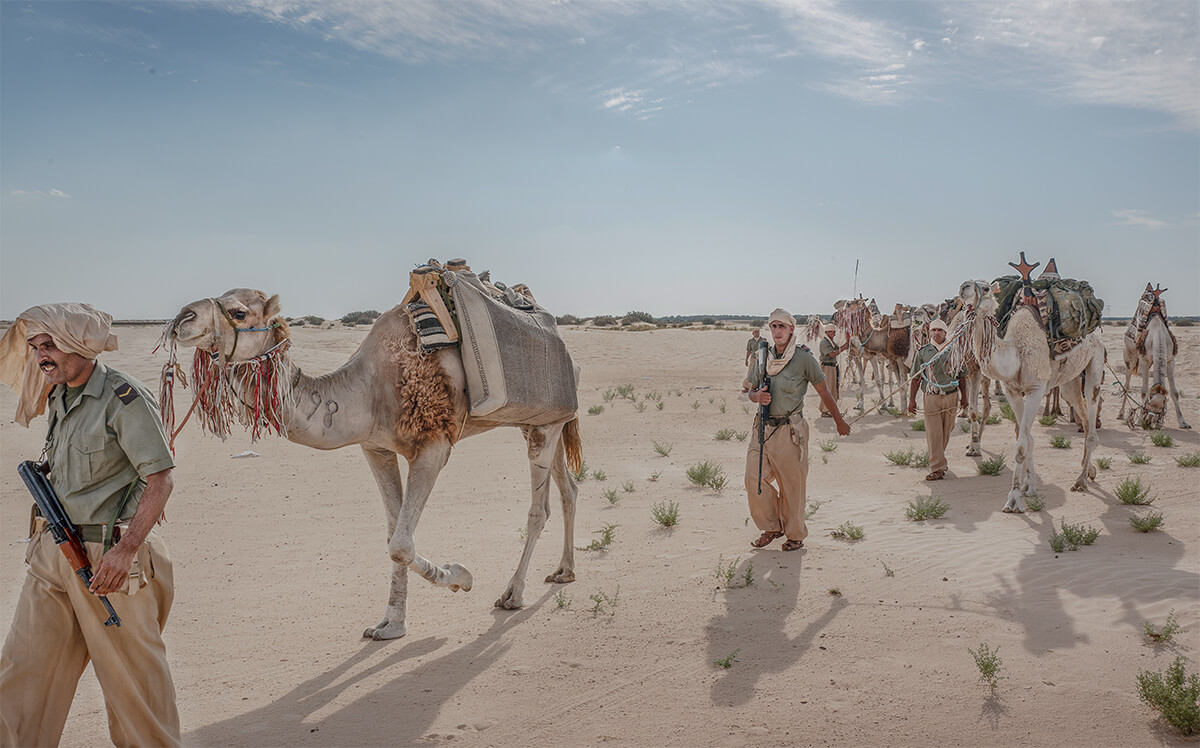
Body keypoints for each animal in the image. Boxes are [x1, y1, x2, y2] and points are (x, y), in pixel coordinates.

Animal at [165, 286, 585, 638]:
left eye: (238, 312)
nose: (183, 317)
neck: (367, 390)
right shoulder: (376, 448)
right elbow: (392, 534)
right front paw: (390, 624)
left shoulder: (433, 446)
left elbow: (400, 542)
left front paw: (460, 577)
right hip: (540, 424)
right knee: (569, 488)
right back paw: (564, 571)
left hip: (546, 422)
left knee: (539, 509)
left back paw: (513, 594)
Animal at [955, 256, 1104, 513]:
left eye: (986, 288)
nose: (964, 286)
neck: (1015, 350)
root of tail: (1096, 336)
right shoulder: (1013, 390)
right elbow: (1026, 439)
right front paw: (1027, 487)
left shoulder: (1035, 389)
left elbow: (1022, 445)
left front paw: (1014, 499)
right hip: (1070, 383)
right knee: (1084, 419)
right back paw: (1089, 471)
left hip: (1095, 367)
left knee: (1092, 417)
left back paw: (1080, 481)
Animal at [1113, 285, 1190, 429]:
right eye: (1147, 406)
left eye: (1160, 410)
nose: (1148, 422)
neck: (1158, 335)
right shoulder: (1144, 360)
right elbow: (1143, 391)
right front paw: (1138, 421)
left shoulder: (1170, 360)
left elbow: (1175, 393)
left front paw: (1183, 422)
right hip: (1129, 357)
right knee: (1127, 385)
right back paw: (1120, 414)